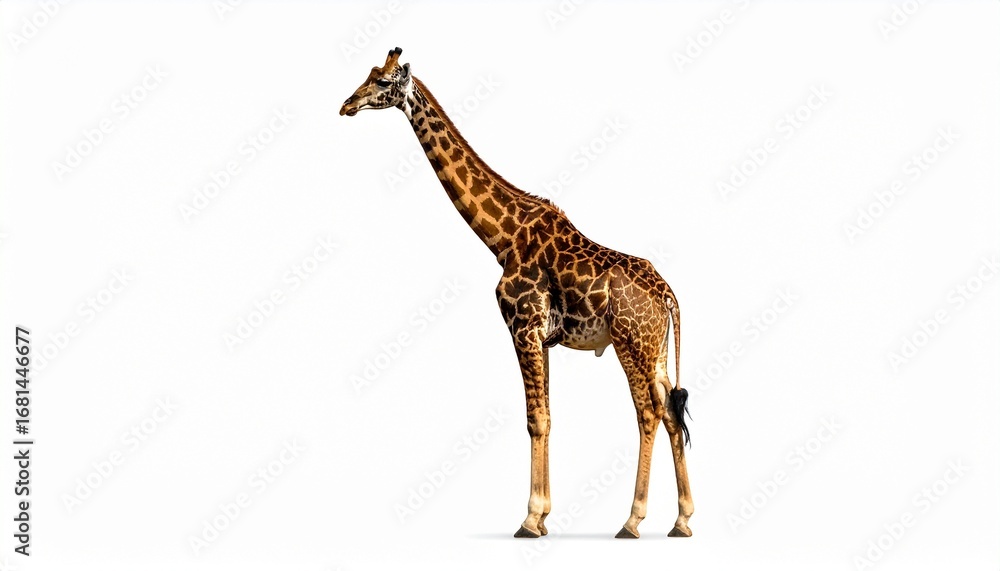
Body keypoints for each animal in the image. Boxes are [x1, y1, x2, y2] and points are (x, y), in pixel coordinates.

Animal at [340, 48, 693, 539]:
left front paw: (529, 519)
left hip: (631, 344)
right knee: (673, 413)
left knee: (648, 413)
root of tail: (668, 296)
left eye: (383, 82)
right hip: (656, 350)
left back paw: (632, 520)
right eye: (369, 75)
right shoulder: (542, 337)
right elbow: (547, 416)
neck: (503, 238)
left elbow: (534, 420)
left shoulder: (522, 326)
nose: (346, 105)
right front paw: (543, 518)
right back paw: (682, 520)